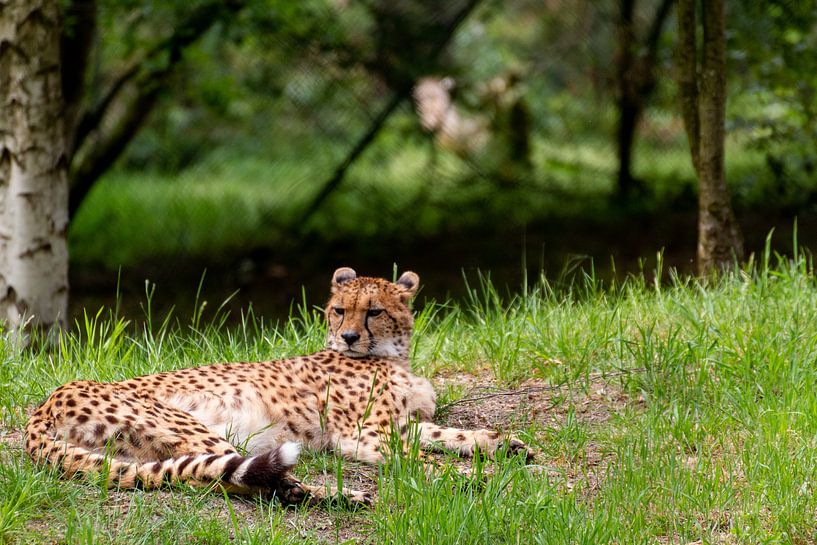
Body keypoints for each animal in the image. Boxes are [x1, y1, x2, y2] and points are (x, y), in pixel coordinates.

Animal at [25, 267, 530, 506]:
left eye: (373, 311)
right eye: (338, 310)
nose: (349, 336)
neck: (391, 353)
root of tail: (46, 402)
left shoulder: (398, 423)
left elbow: (446, 434)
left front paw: (500, 445)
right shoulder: (363, 435)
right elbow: (420, 455)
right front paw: (466, 475)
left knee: (225, 481)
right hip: (193, 428)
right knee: (243, 478)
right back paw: (343, 496)